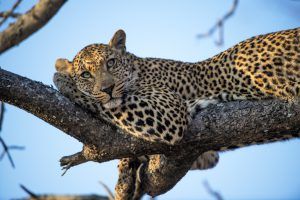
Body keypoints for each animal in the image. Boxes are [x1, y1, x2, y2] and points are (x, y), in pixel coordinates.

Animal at [54, 27, 300, 184]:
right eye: (86, 74)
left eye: (111, 63)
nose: (107, 88)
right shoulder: (207, 156)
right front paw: (126, 180)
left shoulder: (169, 112)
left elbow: (106, 104)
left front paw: (62, 79)